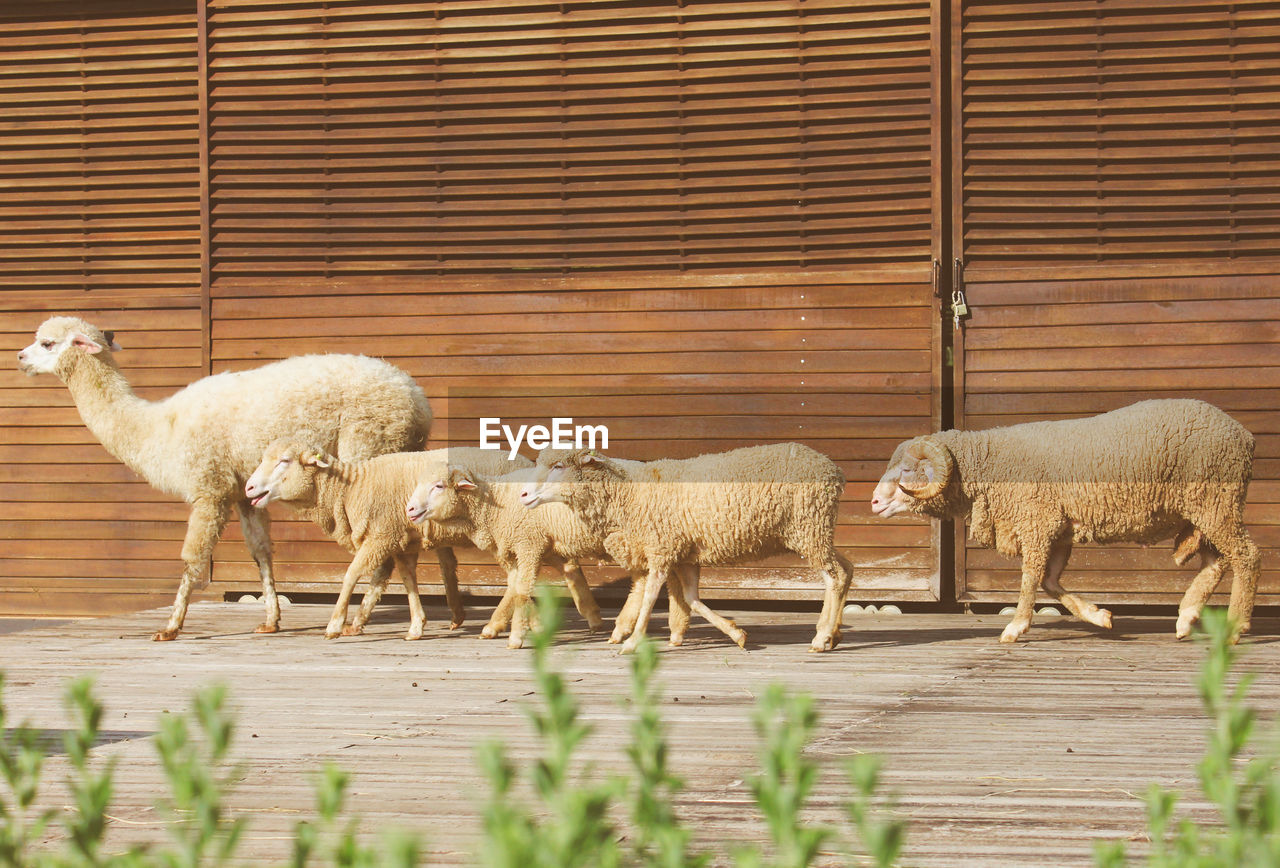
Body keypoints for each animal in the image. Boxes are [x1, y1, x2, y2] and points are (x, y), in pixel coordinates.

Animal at [17, 316, 430, 642]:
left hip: (369, 443)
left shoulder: (208, 487)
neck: (160, 429)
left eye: (47, 343)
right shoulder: (243, 492)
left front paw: (170, 627)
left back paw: (357, 621)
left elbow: (192, 557)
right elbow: (260, 550)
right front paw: (270, 621)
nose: (20, 357)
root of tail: (418, 399)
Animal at [241, 442, 522, 640]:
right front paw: (416, 626)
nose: (248, 488)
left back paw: (498, 625)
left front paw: (335, 624)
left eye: (284, 461)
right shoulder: (399, 540)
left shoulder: (380, 537)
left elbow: (351, 574)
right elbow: (408, 581)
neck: (350, 489)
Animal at [514, 445, 855, 655]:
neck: (626, 492)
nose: (523, 494)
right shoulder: (683, 553)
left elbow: (650, 598)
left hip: (808, 526)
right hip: (816, 531)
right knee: (847, 568)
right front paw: (737, 634)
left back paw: (821, 637)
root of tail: (834, 471)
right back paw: (833, 634)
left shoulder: (661, 548)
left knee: (834, 576)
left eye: (558, 466)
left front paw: (633, 642)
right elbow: (691, 599)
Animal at [870, 401, 1259, 645]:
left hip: (1215, 500)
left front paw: (1015, 627)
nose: (873, 502)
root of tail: (1245, 436)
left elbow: (1030, 579)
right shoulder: (1058, 529)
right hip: (1209, 507)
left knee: (1247, 557)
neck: (989, 468)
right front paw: (1099, 616)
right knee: (1217, 561)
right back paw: (1187, 617)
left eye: (908, 470)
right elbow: (1050, 582)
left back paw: (1236, 627)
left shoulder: (1036, 522)